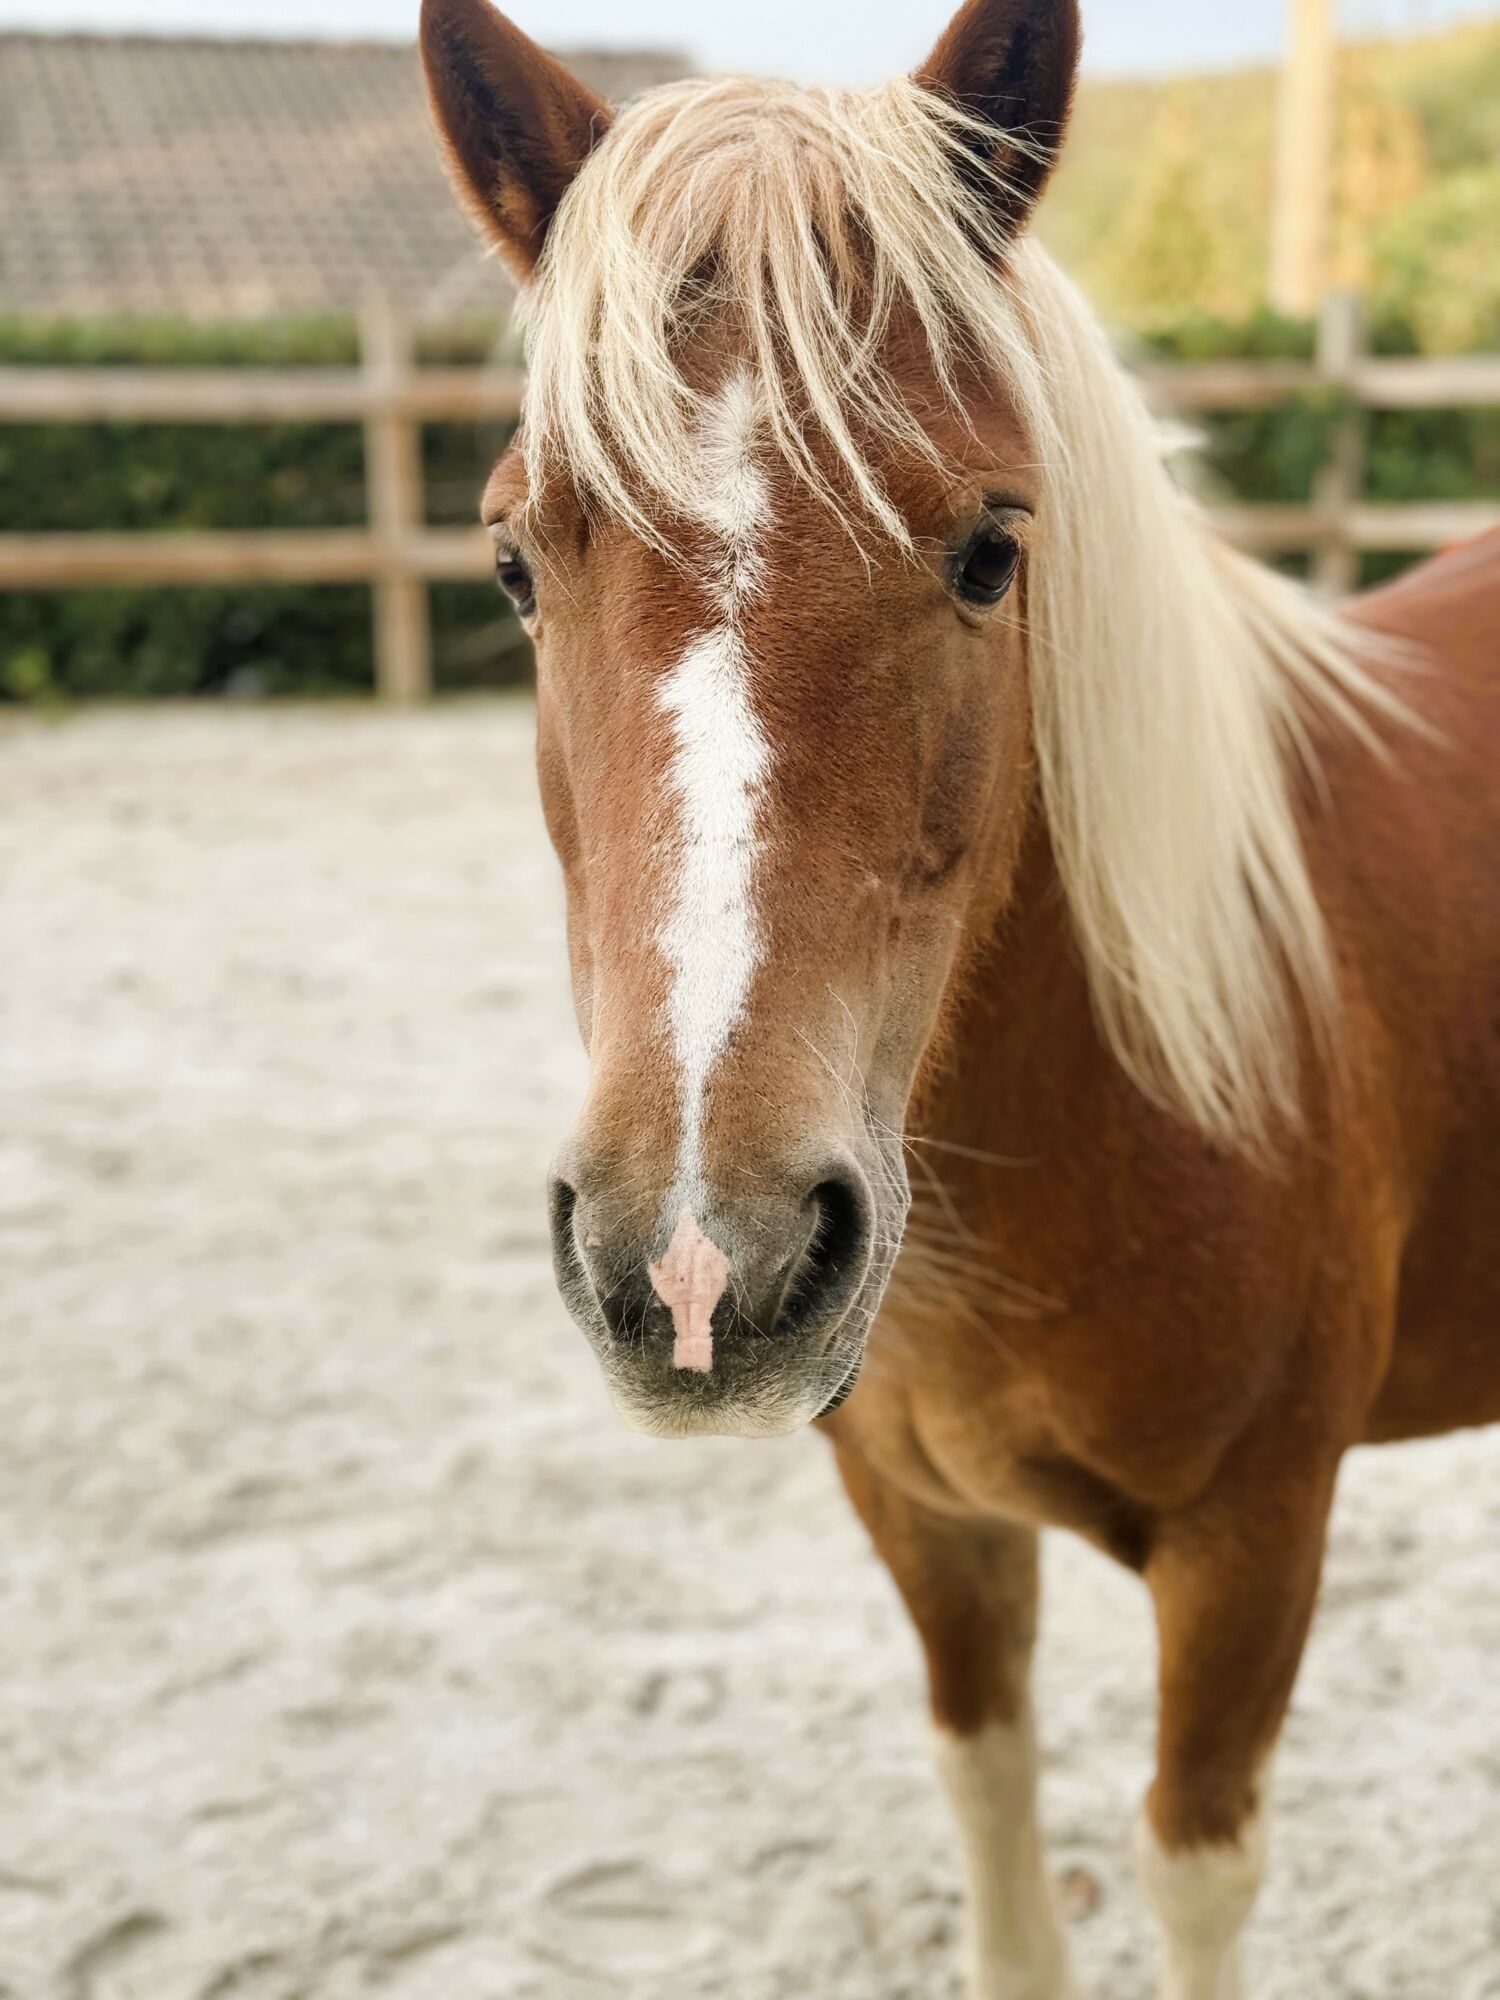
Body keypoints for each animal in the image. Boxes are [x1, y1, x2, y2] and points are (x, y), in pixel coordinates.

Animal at [420, 1, 1500, 1992]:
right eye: (517, 561)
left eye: (994, 547)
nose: (702, 1264)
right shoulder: (928, 1526)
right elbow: (995, 1814)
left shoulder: (1255, 1542)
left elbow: (1193, 1865)